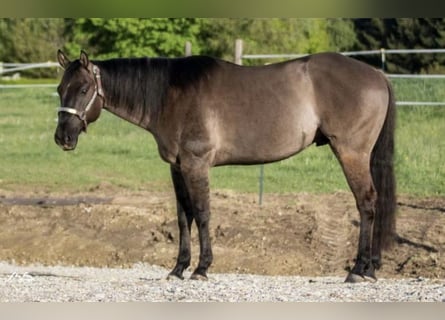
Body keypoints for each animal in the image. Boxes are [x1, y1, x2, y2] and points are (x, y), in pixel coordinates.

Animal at [53, 50, 396, 282]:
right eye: (59, 89)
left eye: (83, 89)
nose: (62, 137)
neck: (170, 95)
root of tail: (377, 74)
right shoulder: (177, 167)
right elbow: (184, 217)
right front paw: (178, 268)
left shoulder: (196, 164)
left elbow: (203, 213)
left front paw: (202, 268)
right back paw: (370, 269)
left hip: (351, 153)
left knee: (366, 203)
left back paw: (358, 269)